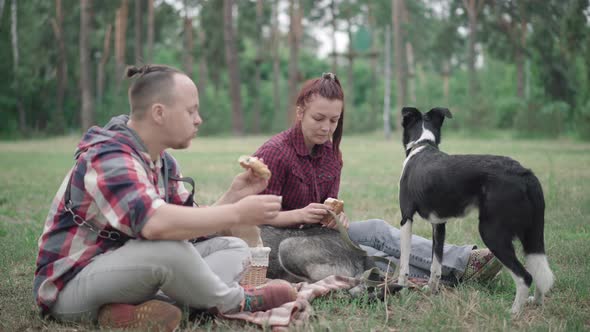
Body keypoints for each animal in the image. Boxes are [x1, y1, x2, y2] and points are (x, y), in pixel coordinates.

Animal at [400, 107, 556, 314]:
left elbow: (403, 264)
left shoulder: (406, 218)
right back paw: (536, 302)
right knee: (538, 272)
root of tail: (525, 173)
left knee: (525, 277)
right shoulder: (439, 224)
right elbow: (436, 265)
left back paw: (513, 313)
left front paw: (399, 289)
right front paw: (432, 290)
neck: (422, 144)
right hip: (532, 235)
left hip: (492, 233)